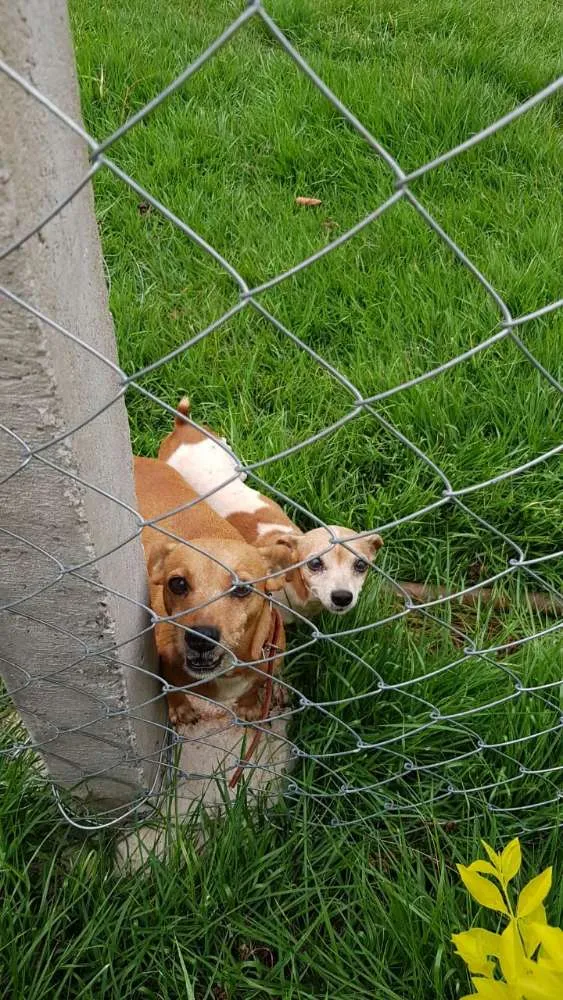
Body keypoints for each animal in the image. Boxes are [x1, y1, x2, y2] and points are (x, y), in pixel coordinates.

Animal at [135, 456, 298, 728]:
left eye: (243, 589)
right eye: (177, 583)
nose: (200, 638)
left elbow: (254, 686)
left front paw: (249, 705)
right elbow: (172, 689)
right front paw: (180, 708)